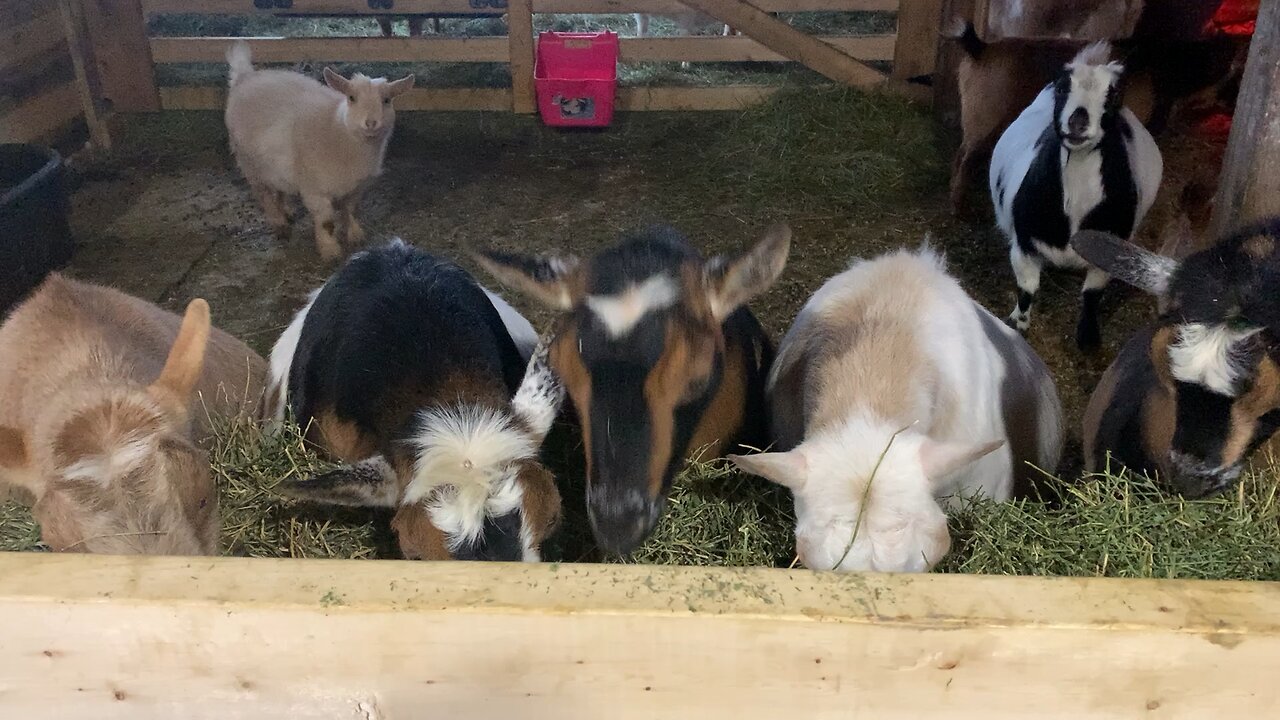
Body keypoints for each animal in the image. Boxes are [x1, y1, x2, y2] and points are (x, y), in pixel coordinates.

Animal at [224, 41, 414, 260]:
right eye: (351, 97)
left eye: (387, 100)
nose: (371, 123)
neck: (338, 130)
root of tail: (245, 75)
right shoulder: (315, 189)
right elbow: (326, 222)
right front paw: (330, 250)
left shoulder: (357, 186)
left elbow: (350, 211)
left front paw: (355, 234)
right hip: (248, 160)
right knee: (263, 193)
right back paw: (279, 224)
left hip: (271, 163)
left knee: (277, 188)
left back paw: (286, 211)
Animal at [988, 41, 1172, 351]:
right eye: (1063, 88)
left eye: (1115, 94)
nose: (1078, 121)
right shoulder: (1023, 243)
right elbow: (1027, 289)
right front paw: (1018, 323)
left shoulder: (1108, 251)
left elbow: (1092, 295)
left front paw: (1088, 337)